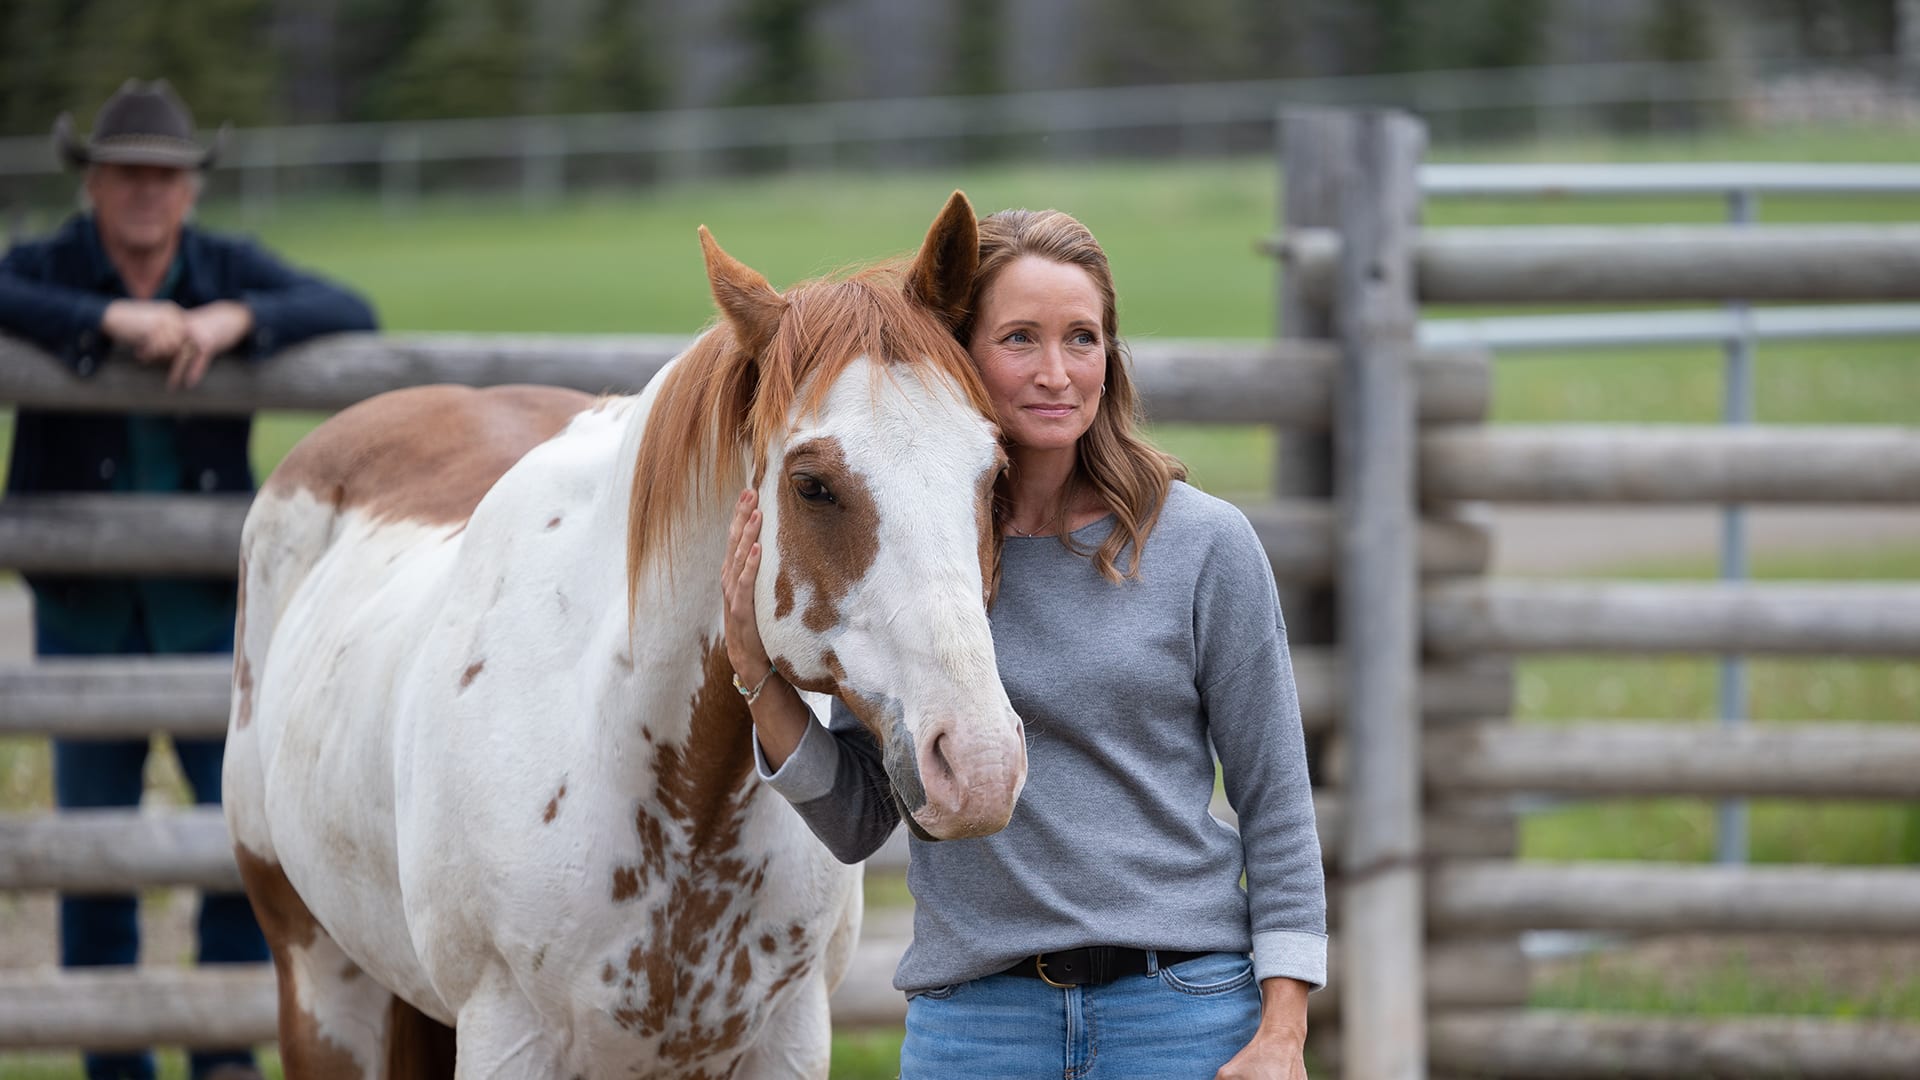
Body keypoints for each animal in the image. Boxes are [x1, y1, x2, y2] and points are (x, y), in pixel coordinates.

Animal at [220, 193, 1036, 1076]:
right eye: (812, 484)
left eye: (995, 473)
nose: (980, 764)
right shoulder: (507, 1036)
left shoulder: (786, 1037)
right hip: (320, 986)